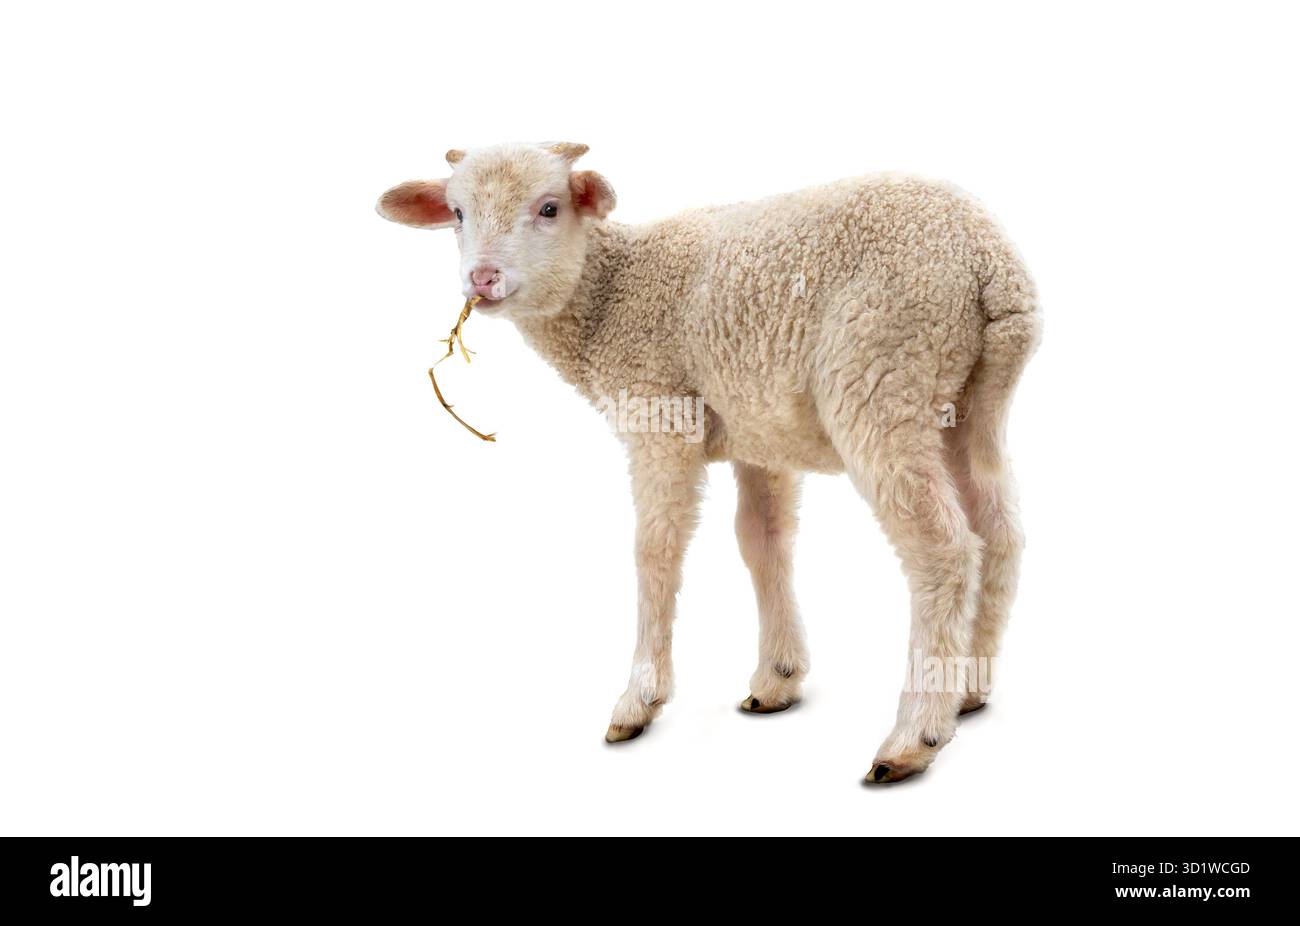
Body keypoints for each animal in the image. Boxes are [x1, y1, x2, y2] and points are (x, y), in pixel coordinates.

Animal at [377, 141, 1041, 783]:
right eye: (457, 214)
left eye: (548, 208)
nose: (482, 278)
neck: (610, 295)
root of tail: (989, 262)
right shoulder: (759, 431)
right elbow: (763, 541)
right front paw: (777, 677)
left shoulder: (660, 412)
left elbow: (655, 549)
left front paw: (639, 699)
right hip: (970, 400)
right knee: (999, 531)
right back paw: (967, 692)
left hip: (884, 373)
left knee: (943, 549)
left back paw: (913, 736)